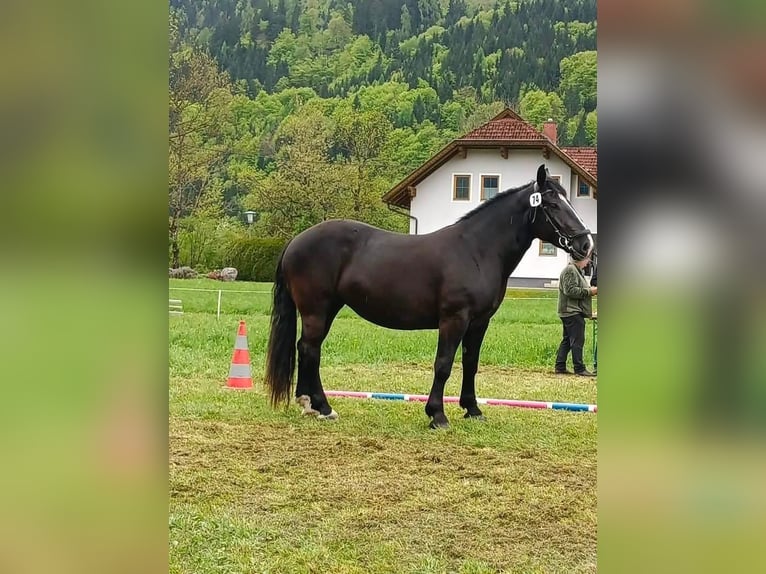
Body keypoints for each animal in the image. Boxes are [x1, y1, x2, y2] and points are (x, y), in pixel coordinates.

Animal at [265, 164, 594, 429]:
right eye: (551, 202)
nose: (586, 244)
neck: (476, 250)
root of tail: (295, 241)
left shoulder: (479, 322)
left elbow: (470, 363)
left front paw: (472, 409)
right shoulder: (454, 319)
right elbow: (444, 363)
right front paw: (437, 415)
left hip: (328, 309)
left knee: (308, 349)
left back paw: (311, 405)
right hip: (316, 310)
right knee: (310, 350)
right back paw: (322, 406)